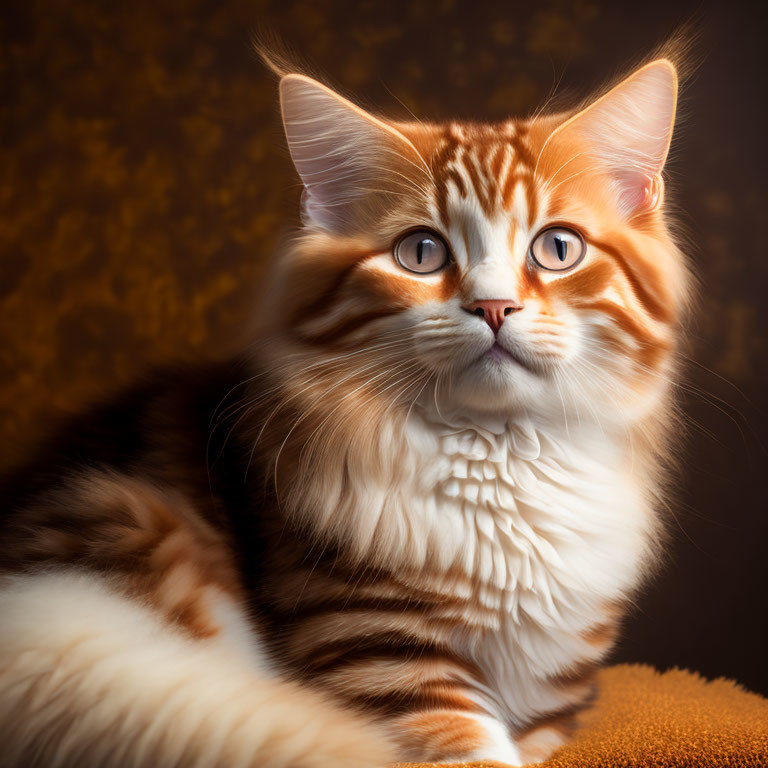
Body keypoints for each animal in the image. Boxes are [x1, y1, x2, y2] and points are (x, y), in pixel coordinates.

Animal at [0, 51, 688, 764]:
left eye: (557, 248)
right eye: (422, 253)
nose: (494, 307)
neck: (497, 453)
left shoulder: (558, 693)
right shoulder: (371, 647)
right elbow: (471, 745)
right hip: (129, 522)